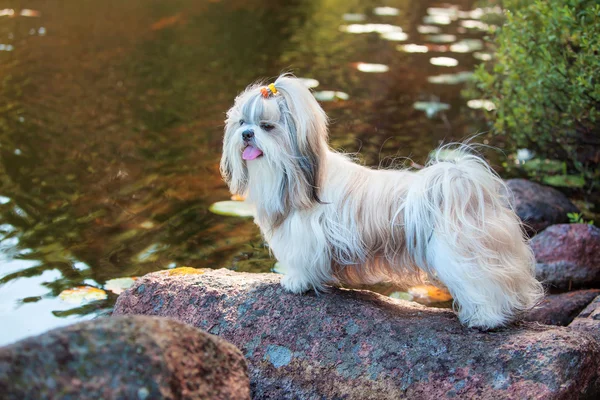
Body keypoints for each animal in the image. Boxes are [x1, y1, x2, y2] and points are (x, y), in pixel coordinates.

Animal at [220, 72, 544, 328]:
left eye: (267, 126)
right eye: (242, 122)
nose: (247, 134)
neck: (294, 177)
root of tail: (464, 187)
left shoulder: (304, 239)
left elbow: (302, 265)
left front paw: (296, 282)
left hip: (461, 256)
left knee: (486, 285)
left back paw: (485, 318)